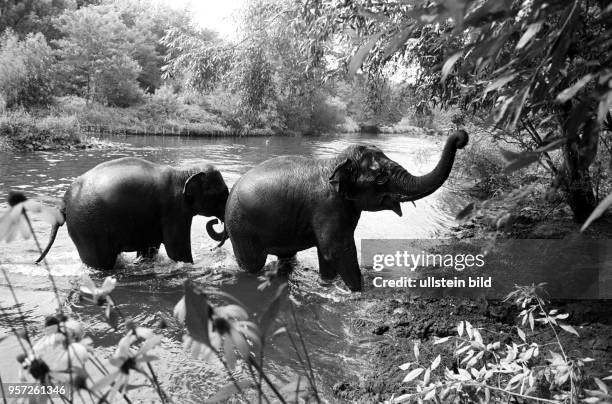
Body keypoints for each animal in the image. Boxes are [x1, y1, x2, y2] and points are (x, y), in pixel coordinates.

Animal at [37, 156, 230, 270]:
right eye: (221, 196)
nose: (212, 249)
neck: (183, 172)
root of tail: (63, 203)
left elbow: (150, 249)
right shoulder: (175, 210)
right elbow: (177, 252)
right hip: (87, 228)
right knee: (101, 263)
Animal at [224, 129, 468, 290]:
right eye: (381, 179)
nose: (461, 137)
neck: (336, 162)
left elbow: (327, 252)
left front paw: (327, 285)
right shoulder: (327, 206)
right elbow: (336, 250)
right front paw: (359, 294)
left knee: (286, 256)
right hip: (242, 229)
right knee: (252, 264)